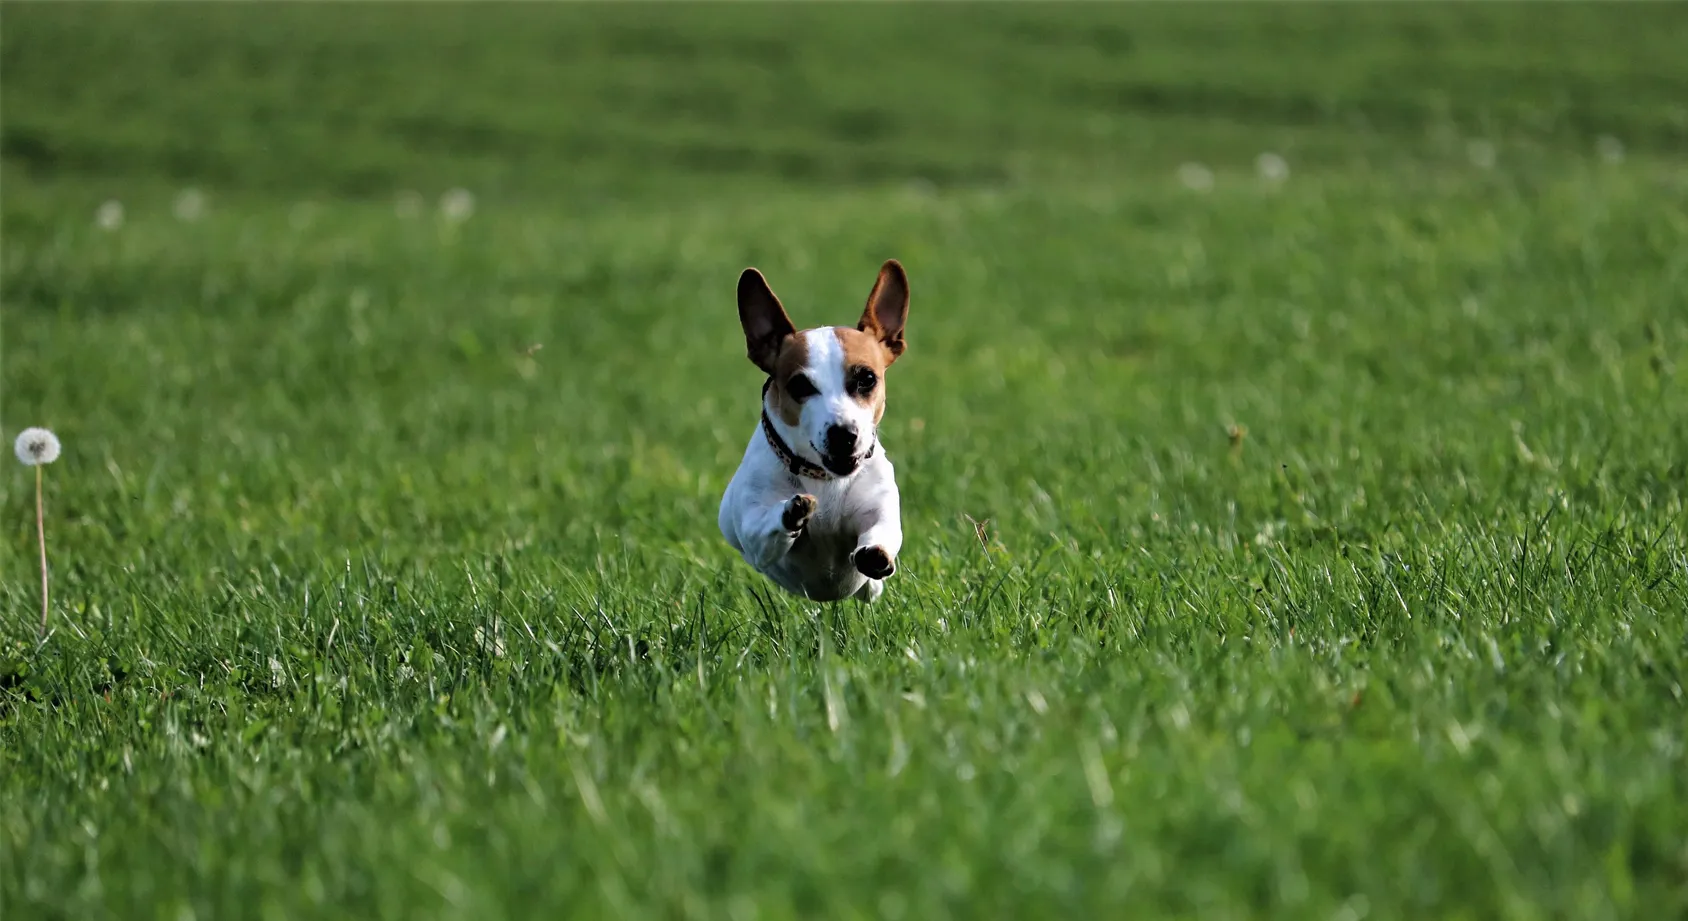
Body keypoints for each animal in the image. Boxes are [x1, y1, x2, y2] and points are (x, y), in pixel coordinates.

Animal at [722, 258, 918, 600]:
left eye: (867, 379)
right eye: (800, 386)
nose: (843, 434)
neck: (824, 480)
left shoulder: (878, 507)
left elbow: (883, 529)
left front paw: (875, 552)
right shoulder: (754, 532)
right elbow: (765, 526)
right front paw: (791, 511)